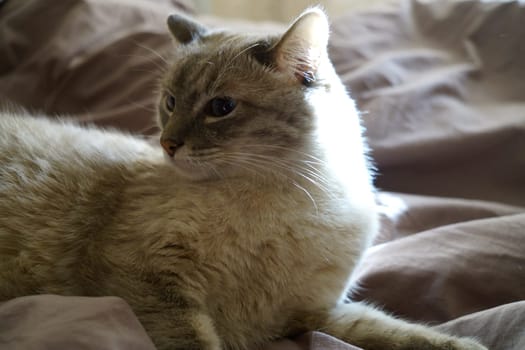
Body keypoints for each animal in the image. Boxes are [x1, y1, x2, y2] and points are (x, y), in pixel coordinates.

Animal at [0, 7, 488, 350]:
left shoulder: (309, 315)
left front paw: (466, 344)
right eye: (171, 102)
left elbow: (395, 331)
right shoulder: (150, 282)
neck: (277, 205)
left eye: (220, 108)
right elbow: (195, 342)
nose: (167, 144)